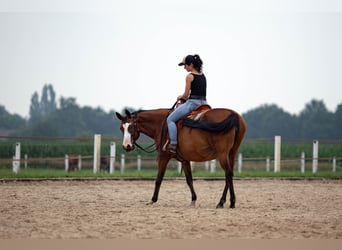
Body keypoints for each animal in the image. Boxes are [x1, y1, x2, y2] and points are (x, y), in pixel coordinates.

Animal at [115, 106, 246, 208]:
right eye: (121, 128)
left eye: (131, 127)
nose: (126, 146)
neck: (162, 124)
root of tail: (233, 114)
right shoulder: (185, 160)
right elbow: (189, 179)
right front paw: (193, 199)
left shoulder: (163, 157)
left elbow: (159, 179)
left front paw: (152, 199)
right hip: (231, 153)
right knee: (229, 175)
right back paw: (225, 202)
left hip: (222, 154)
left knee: (228, 173)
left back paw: (227, 202)